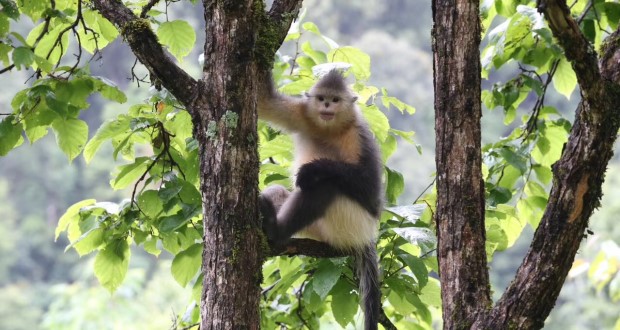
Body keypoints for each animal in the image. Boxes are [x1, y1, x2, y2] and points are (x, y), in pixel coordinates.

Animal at [258, 69, 382, 330]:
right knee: (278, 192)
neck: (330, 130)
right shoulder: (302, 113)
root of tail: (367, 236)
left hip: (351, 224)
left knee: (325, 186)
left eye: (335, 99)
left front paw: (312, 169)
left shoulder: (360, 135)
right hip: (318, 229)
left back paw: (276, 230)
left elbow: (370, 188)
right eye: (322, 98)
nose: (326, 105)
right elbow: (264, 101)